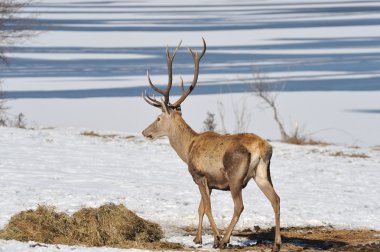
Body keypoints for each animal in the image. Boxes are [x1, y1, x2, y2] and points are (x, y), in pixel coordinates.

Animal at [141, 38, 280, 251]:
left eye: (158, 118)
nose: (144, 132)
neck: (187, 149)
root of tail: (263, 148)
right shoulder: (211, 183)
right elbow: (200, 208)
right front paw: (198, 239)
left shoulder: (199, 176)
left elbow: (206, 208)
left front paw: (215, 239)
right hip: (263, 174)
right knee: (276, 199)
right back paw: (276, 244)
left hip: (235, 176)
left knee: (239, 206)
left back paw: (225, 240)